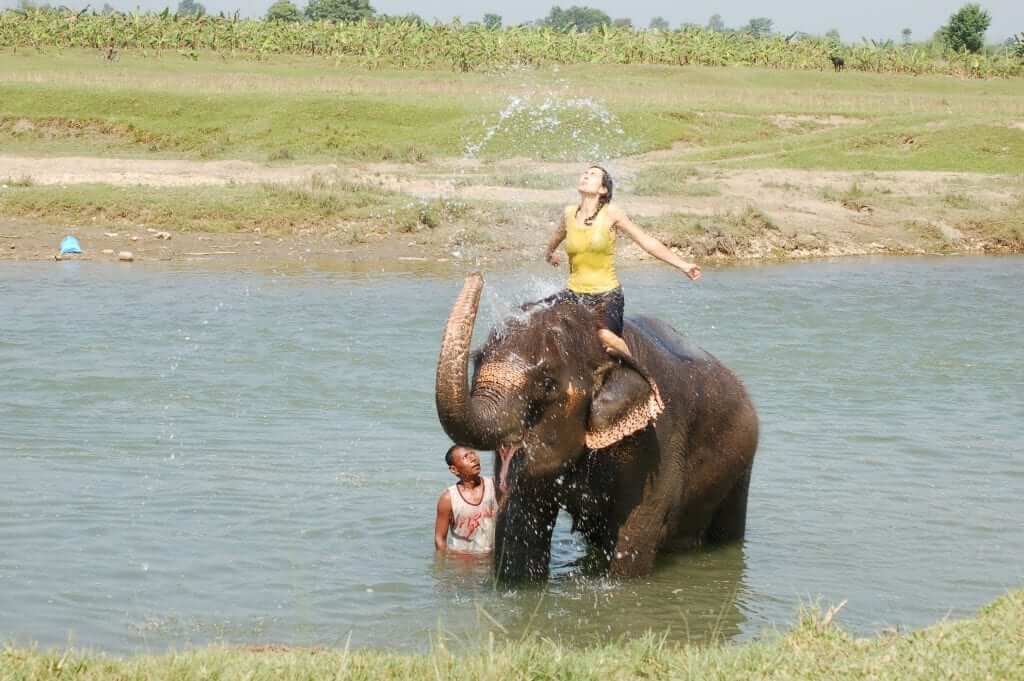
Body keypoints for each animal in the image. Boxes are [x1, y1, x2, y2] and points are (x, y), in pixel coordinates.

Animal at [435, 273, 759, 582]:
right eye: (477, 361)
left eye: (547, 384)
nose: (476, 275)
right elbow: (520, 529)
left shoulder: (656, 443)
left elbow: (636, 530)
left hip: (742, 465)